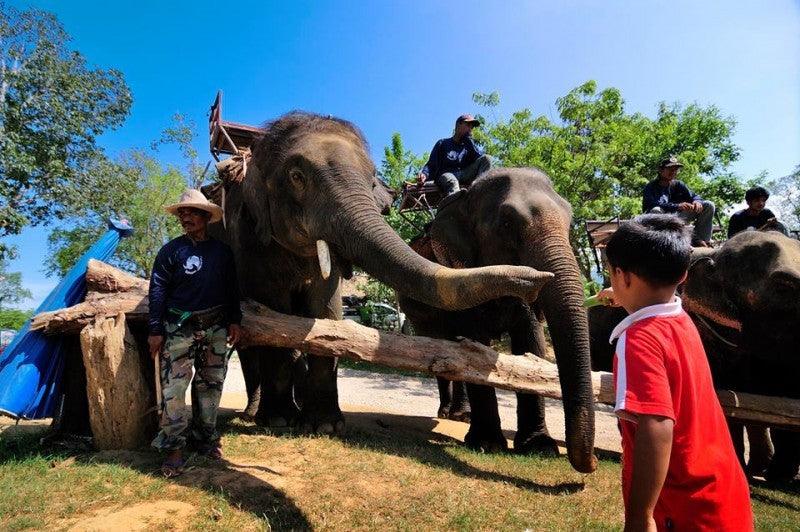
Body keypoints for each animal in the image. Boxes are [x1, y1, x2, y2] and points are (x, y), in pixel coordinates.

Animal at [206, 112, 556, 436]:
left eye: (373, 179)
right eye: (296, 176)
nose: (538, 280)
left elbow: (325, 309)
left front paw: (325, 427)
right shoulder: (247, 236)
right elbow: (273, 309)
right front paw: (280, 422)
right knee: (250, 339)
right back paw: (258, 414)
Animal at [396, 167, 596, 474]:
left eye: (570, 220)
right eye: (506, 223)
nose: (593, 463)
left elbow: (531, 344)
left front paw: (540, 448)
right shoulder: (459, 276)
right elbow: (474, 344)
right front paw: (486, 444)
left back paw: (462, 415)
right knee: (441, 347)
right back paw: (448, 413)